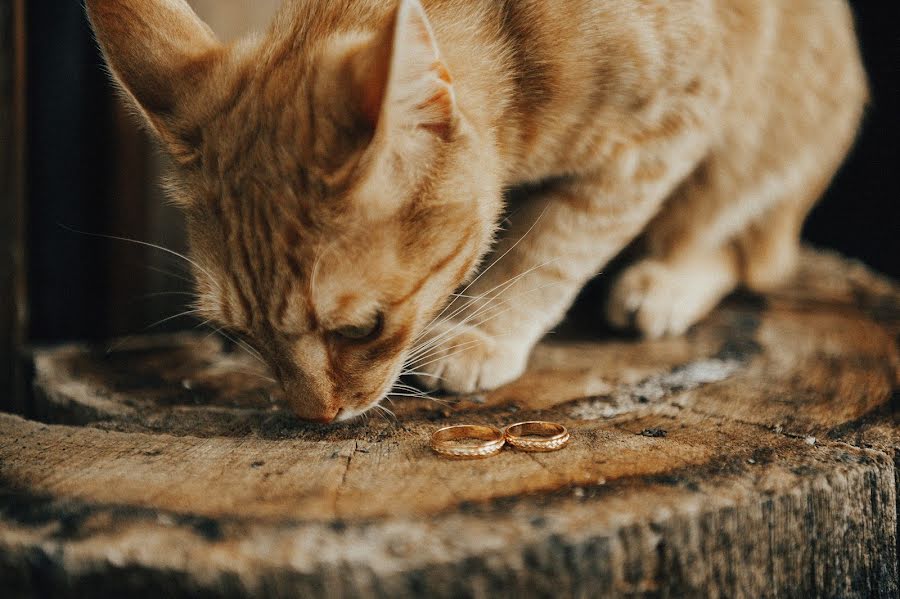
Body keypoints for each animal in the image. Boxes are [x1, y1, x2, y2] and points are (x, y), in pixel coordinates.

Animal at [88, 0, 868, 422]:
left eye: (361, 329)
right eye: (237, 333)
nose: (317, 416)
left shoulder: (677, 120)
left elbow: (549, 246)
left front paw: (480, 331)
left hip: (760, 138)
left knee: (741, 243)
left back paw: (667, 282)